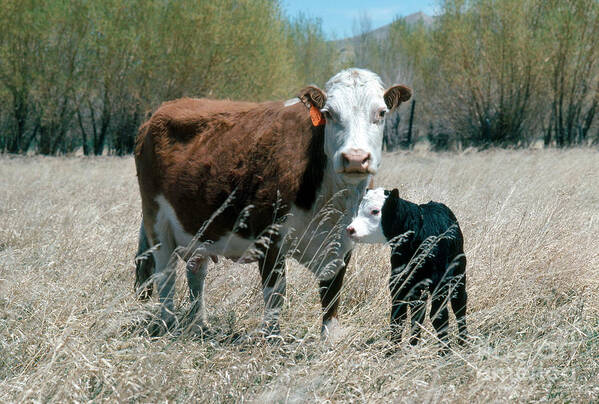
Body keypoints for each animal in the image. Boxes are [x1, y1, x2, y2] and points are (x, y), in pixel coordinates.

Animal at [134, 68, 410, 338]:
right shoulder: (269, 236)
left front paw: (329, 340)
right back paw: (167, 325)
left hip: (199, 228)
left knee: (195, 272)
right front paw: (271, 339)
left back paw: (199, 325)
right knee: (166, 276)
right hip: (157, 222)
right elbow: (275, 294)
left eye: (381, 112)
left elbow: (331, 298)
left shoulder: (340, 243)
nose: (354, 158)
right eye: (328, 113)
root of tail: (163, 110)